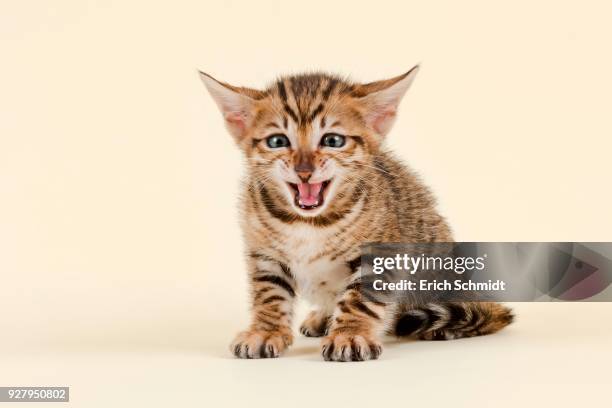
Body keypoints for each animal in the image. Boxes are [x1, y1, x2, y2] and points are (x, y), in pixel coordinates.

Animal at [200, 67, 512, 364]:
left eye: (332, 140)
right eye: (277, 141)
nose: (304, 171)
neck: (308, 222)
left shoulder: (381, 252)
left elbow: (359, 298)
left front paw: (349, 335)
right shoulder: (264, 252)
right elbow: (269, 293)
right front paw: (266, 331)